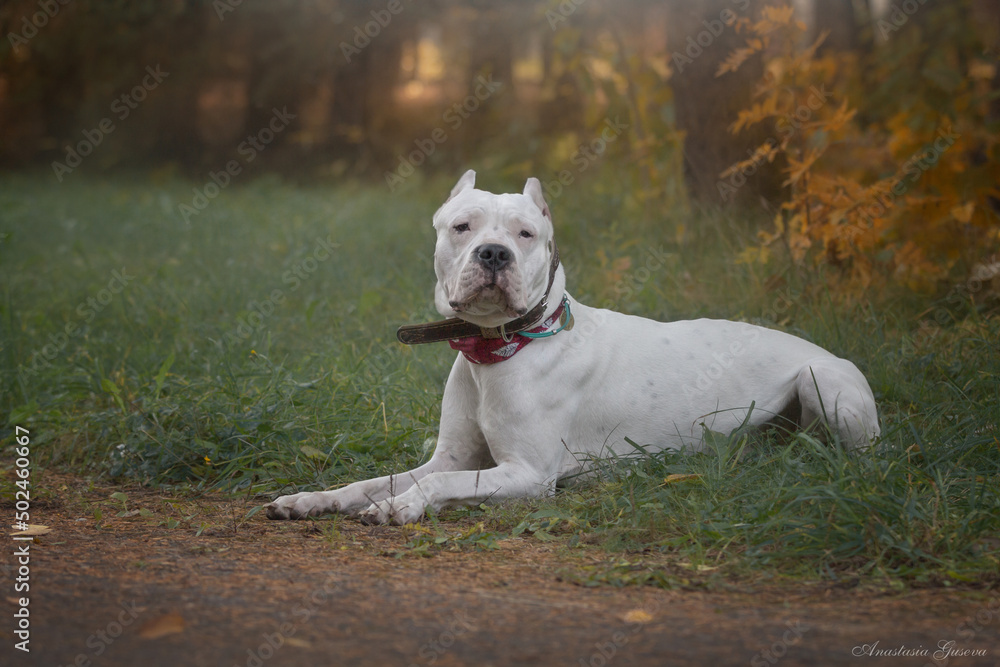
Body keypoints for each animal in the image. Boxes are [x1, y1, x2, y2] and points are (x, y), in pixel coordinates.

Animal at [268, 170, 884, 524]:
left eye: (525, 234)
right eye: (462, 226)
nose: (494, 253)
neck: (503, 349)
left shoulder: (527, 473)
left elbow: (437, 485)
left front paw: (401, 506)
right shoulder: (453, 455)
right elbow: (373, 480)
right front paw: (313, 499)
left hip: (823, 383)